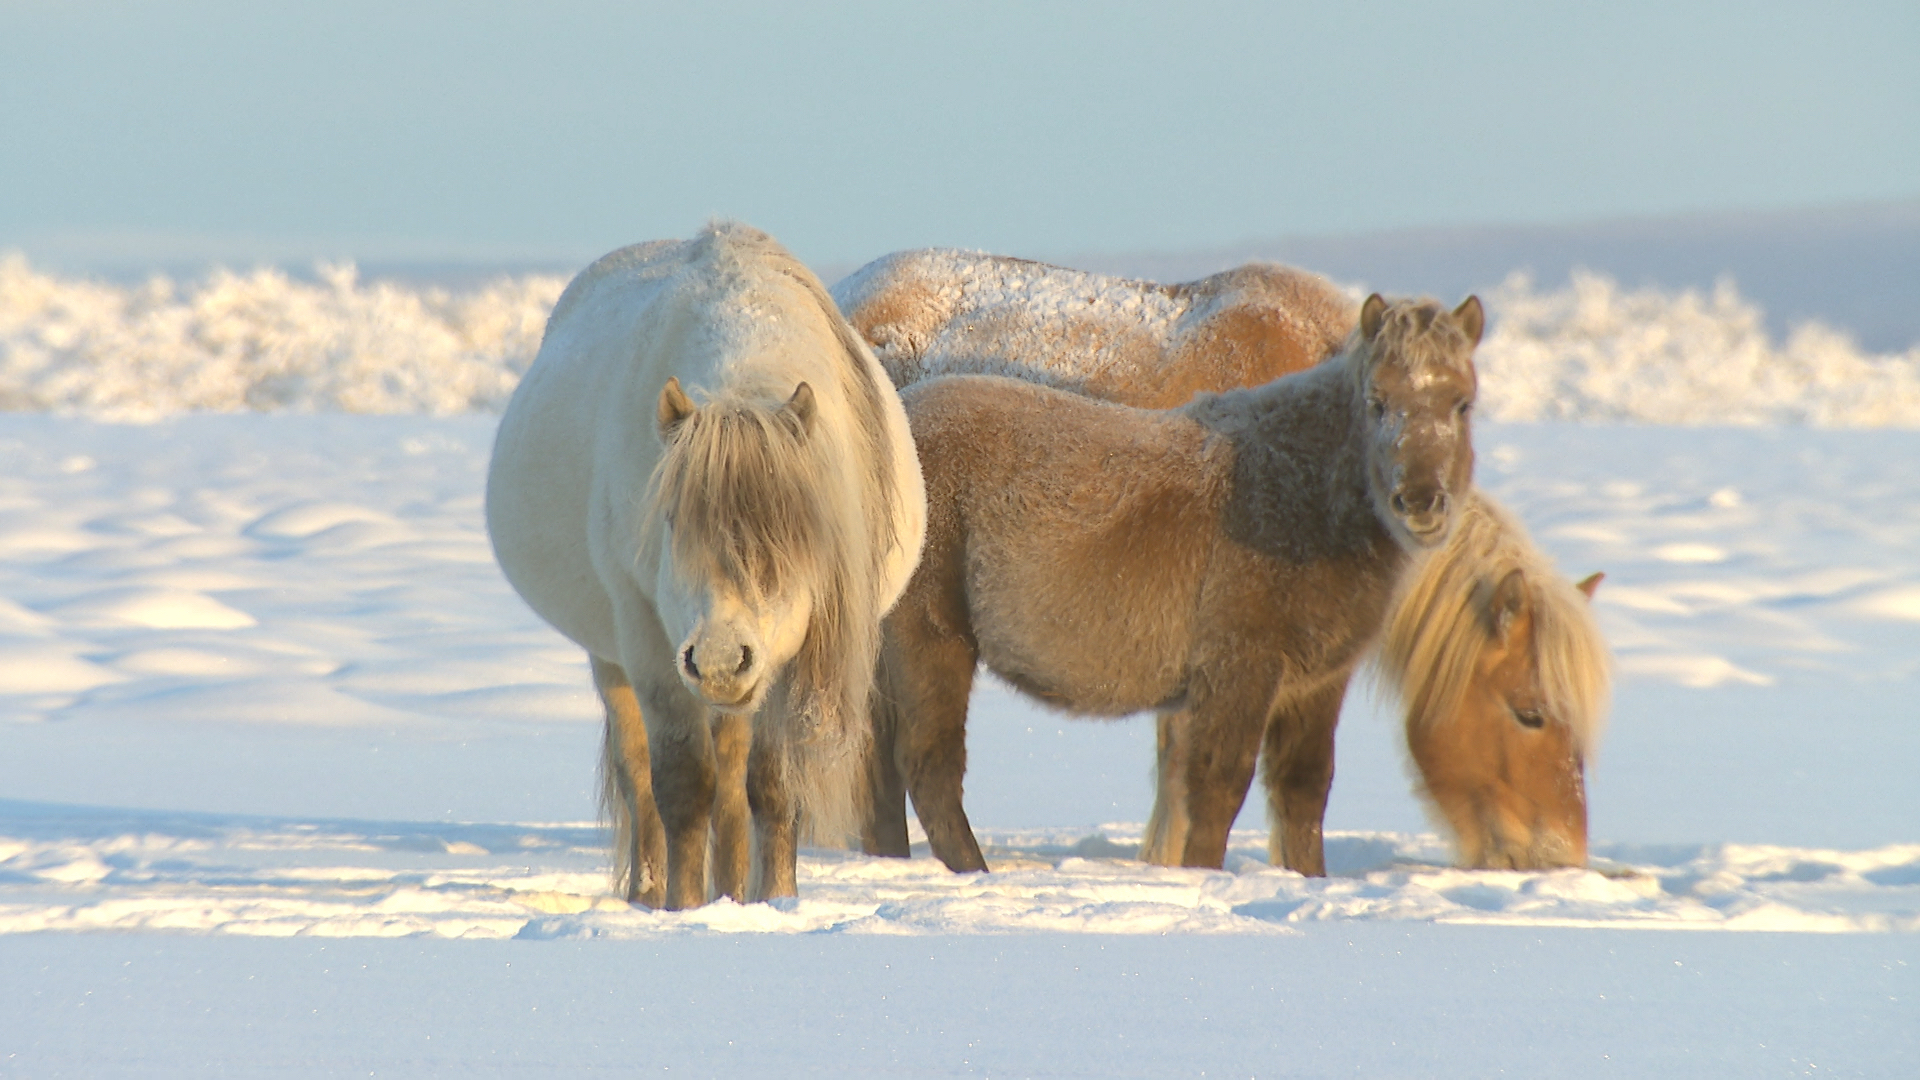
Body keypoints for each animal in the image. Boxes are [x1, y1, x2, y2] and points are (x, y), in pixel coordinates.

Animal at [483, 222, 925, 903]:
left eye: (792, 531)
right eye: (668, 520)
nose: (718, 659)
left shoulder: (780, 661)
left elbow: (769, 790)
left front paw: (775, 901)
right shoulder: (651, 646)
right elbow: (682, 788)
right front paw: (684, 909)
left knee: (734, 784)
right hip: (616, 658)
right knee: (640, 779)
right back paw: (648, 893)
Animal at [840, 247, 1605, 868]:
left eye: (1465, 404)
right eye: (1529, 712)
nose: (1555, 857)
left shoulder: (1304, 680)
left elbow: (1291, 793)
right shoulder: (1231, 665)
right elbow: (1203, 786)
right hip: (928, 638)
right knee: (917, 765)